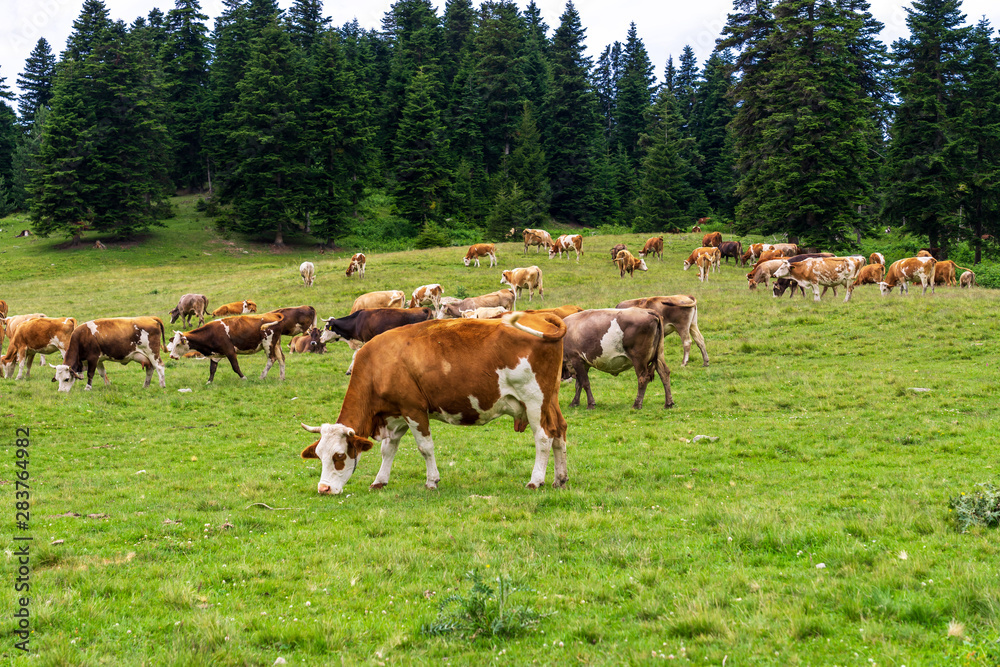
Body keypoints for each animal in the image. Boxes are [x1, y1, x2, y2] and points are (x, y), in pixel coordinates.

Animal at [298, 314, 572, 496]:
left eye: (339, 456)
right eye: (319, 456)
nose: (323, 488)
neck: (378, 364)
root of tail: (540, 316)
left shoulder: (414, 410)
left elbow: (425, 447)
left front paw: (432, 481)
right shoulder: (396, 414)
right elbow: (388, 449)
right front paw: (380, 480)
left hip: (534, 401)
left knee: (544, 437)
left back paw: (536, 480)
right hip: (550, 400)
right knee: (559, 432)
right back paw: (560, 478)